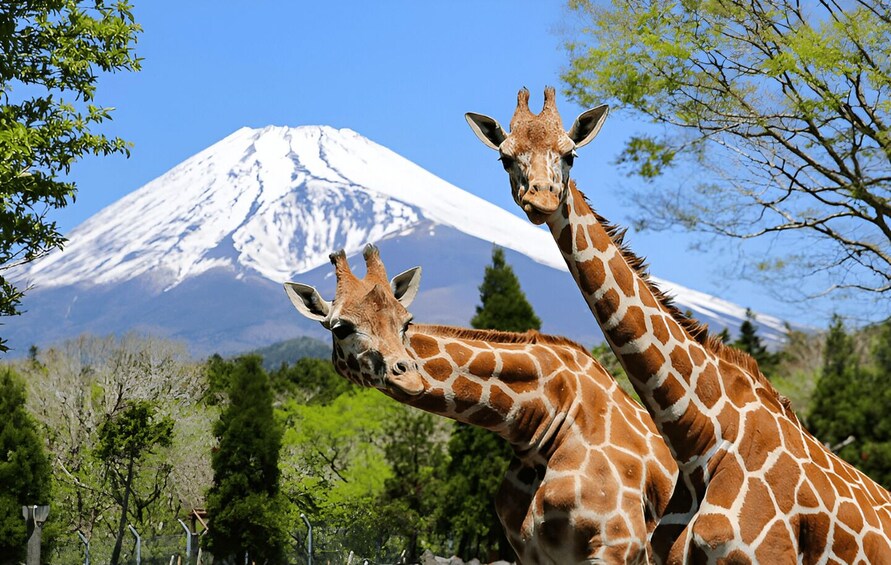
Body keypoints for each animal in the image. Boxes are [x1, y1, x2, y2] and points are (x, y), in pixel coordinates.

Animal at [285, 244, 678, 564]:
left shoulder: (616, 545)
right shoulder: (531, 553)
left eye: (406, 322)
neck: (546, 421)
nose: (408, 376)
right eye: (340, 327)